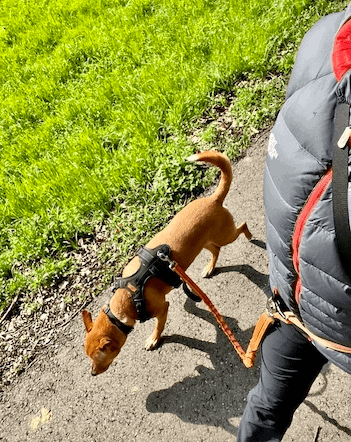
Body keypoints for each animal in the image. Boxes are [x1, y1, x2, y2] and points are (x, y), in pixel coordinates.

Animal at [82, 150, 253, 374]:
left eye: (100, 358)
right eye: (88, 356)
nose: (92, 372)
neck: (129, 293)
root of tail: (213, 199)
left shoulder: (162, 308)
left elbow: (159, 326)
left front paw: (154, 339)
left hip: (226, 234)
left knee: (242, 226)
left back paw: (249, 236)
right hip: (205, 243)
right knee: (216, 250)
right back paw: (209, 267)